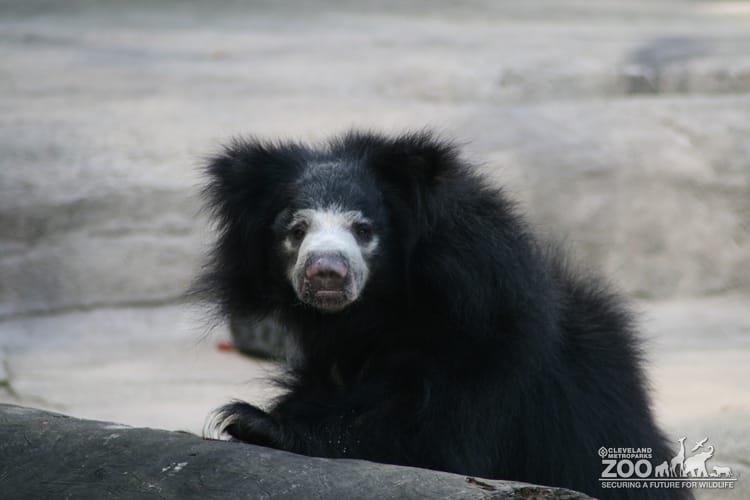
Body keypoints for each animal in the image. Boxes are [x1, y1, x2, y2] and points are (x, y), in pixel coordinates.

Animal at [195, 130, 689, 499]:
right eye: (296, 229)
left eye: (364, 229)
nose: (327, 272)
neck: (377, 310)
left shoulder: (483, 338)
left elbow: (435, 438)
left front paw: (251, 420)